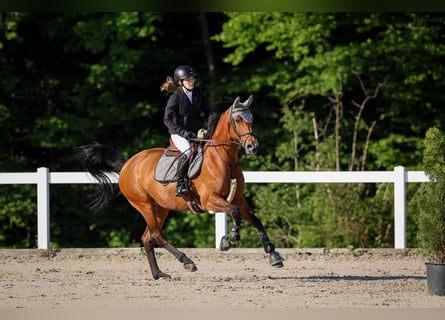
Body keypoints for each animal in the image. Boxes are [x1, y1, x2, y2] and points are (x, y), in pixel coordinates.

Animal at [74, 95, 282, 280]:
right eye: (238, 119)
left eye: (252, 118)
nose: (252, 147)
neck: (225, 161)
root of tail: (127, 164)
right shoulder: (210, 201)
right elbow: (234, 212)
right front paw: (229, 240)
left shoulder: (239, 199)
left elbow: (255, 220)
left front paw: (273, 255)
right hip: (144, 205)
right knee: (156, 235)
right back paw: (186, 261)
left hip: (161, 208)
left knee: (147, 237)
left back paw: (159, 274)